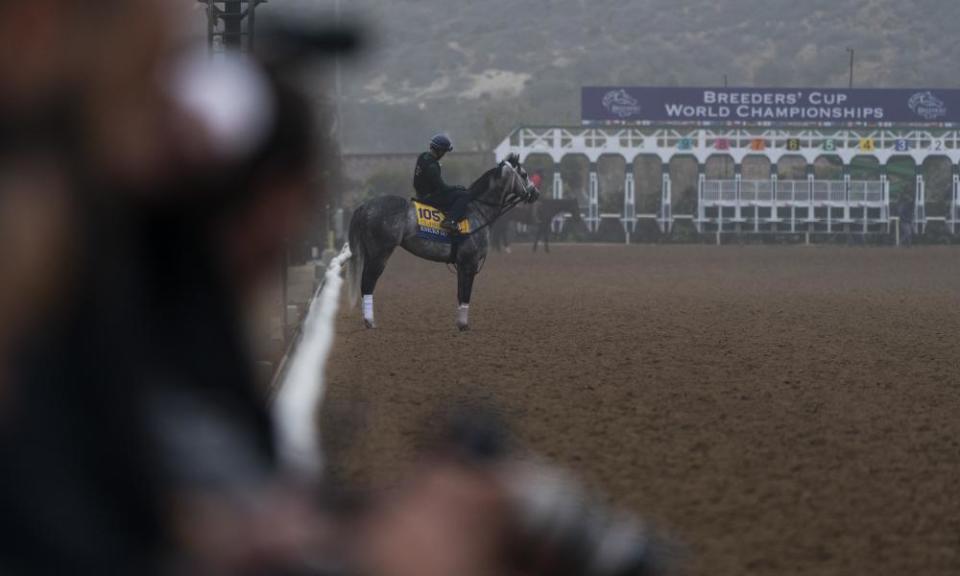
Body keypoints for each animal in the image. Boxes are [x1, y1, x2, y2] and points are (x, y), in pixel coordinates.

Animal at [346, 155, 540, 330]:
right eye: (524, 174)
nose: (536, 193)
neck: (477, 209)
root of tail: (364, 206)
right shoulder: (469, 263)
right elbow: (466, 293)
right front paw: (464, 325)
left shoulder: (461, 264)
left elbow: (460, 293)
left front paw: (460, 324)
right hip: (380, 254)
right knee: (368, 282)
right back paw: (370, 322)